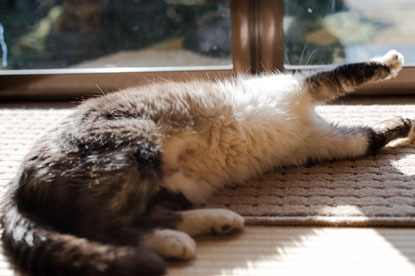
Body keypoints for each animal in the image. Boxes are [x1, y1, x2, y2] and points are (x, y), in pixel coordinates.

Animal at [0, 50, 410, 276]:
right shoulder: (303, 88)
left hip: (175, 186)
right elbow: (349, 73)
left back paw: (214, 224)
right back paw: (176, 242)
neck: (307, 120)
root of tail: (16, 184)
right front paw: (391, 63)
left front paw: (404, 125)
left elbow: (367, 137)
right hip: (136, 147)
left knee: (148, 216)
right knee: (101, 226)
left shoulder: (326, 142)